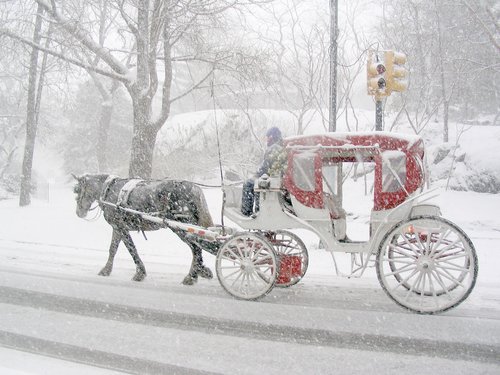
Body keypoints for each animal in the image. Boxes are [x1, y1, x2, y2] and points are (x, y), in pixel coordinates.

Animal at [73, 175, 214, 286]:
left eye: (77, 190)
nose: (79, 213)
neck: (109, 191)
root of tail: (194, 188)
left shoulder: (121, 227)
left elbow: (132, 249)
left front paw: (139, 273)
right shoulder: (117, 228)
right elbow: (113, 249)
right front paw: (106, 270)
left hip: (181, 227)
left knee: (196, 248)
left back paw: (191, 277)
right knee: (198, 247)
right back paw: (198, 271)